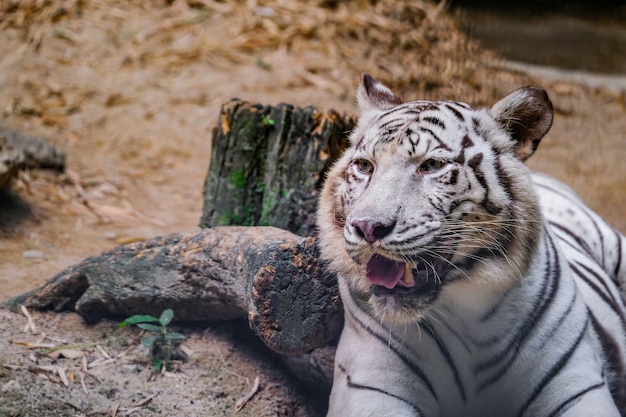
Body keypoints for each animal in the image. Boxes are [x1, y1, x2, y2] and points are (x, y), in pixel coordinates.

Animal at [316, 73, 624, 414]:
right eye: (365, 166)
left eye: (431, 165)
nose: (367, 227)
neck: (467, 311)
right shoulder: (371, 386)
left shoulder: (577, 385)